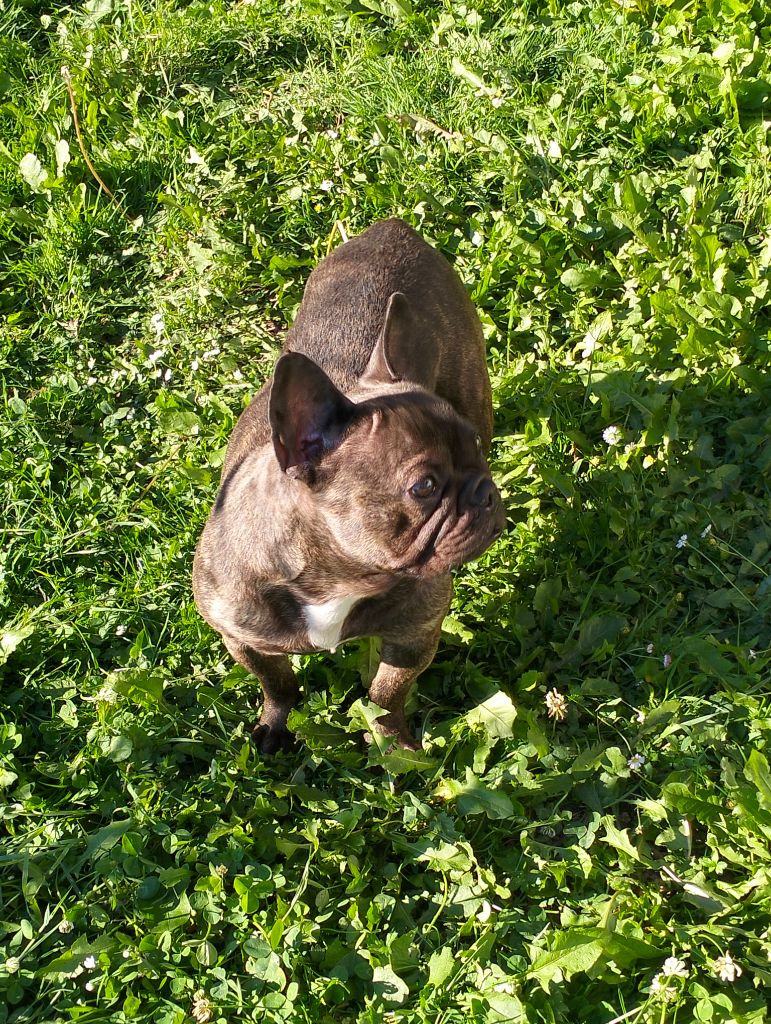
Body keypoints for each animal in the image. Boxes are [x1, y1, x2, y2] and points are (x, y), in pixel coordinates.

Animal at [192, 220, 505, 753]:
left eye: (476, 451)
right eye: (423, 487)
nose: (484, 491)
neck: (339, 574)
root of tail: (392, 228)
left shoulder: (417, 630)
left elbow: (386, 692)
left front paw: (393, 744)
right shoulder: (242, 638)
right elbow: (278, 684)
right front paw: (274, 726)